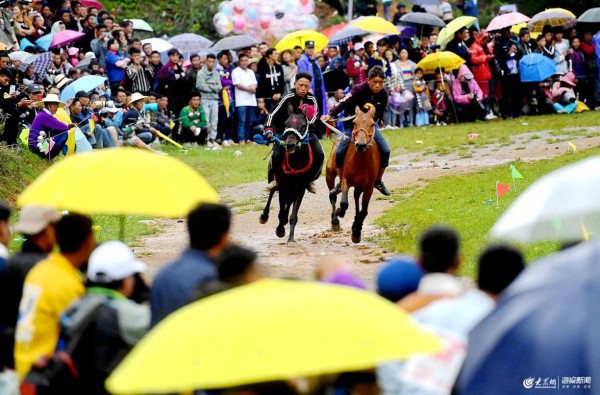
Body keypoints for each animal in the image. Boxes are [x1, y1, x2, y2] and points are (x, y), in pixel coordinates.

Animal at [258, 105, 316, 243]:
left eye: (303, 125)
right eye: (286, 124)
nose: (290, 145)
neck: (295, 163)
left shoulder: (300, 188)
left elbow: (293, 215)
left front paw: (290, 239)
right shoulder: (283, 186)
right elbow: (281, 212)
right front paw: (280, 229)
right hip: (273, 178)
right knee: (272, 193)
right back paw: (264, 216)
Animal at [326, 105, 378, 244]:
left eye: (372, 124)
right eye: (354, 122)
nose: (360, 145)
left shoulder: (369, 187)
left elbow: (364, 211)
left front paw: (356, 231)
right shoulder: (346, 180)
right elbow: (344, 203)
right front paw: (339, 213)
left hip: (359, 186)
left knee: (355, 199)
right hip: (330, 174)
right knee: (332, 195)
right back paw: (335, 220)